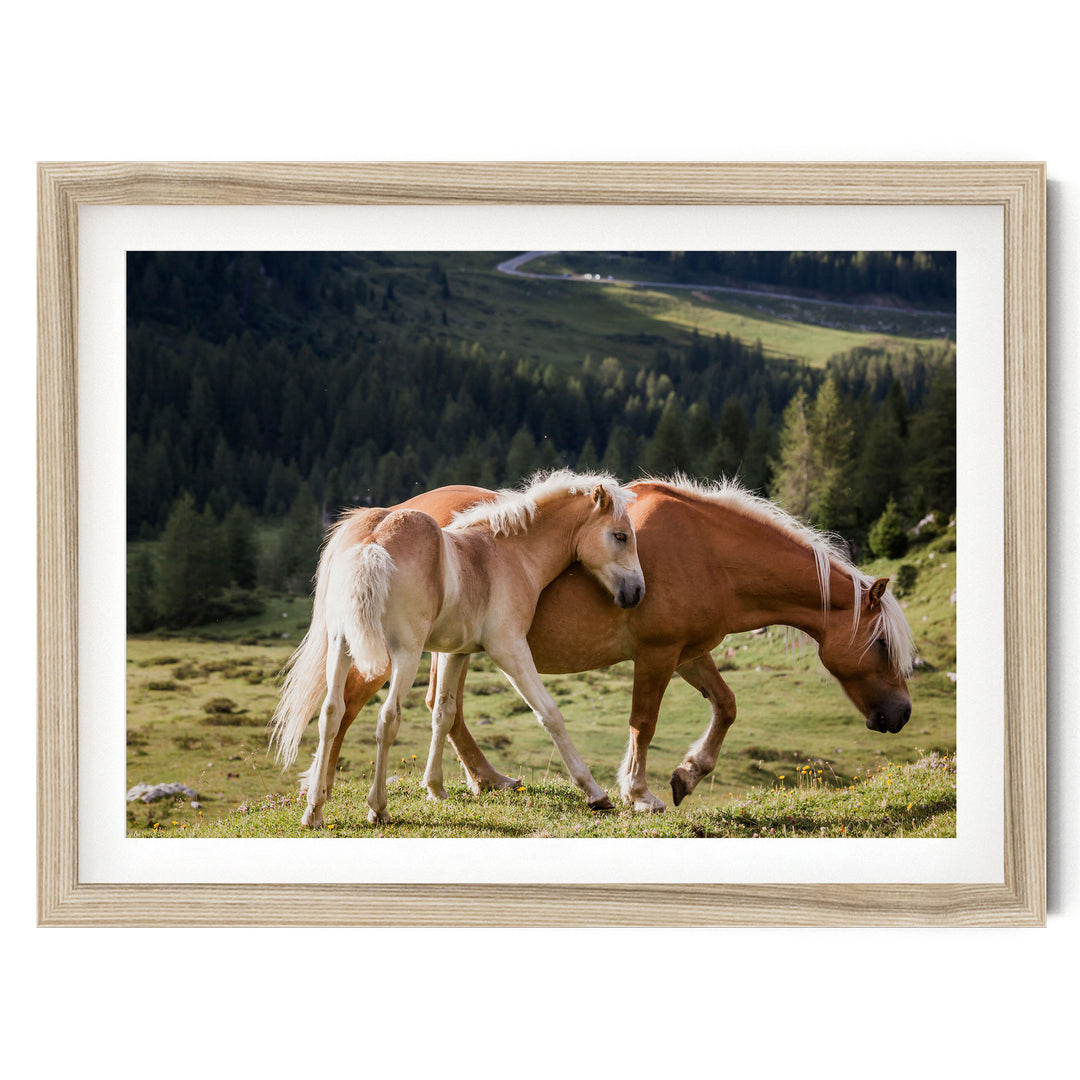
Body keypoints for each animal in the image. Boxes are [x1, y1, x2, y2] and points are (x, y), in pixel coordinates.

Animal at [269, 470, 645, 826]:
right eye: (621, 536)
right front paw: (595, 792)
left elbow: (443, 713)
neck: (507, 553)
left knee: (331, 713)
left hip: (341, 646)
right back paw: (378, 808)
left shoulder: (455, 652)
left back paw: (314, 810)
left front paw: (435, 787)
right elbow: (549, 714)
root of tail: (371, 541)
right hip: (404, 654)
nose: (637, 592)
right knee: (387, 718)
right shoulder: (509, 649)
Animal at [292, 475, 917, 814]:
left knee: (440, 709)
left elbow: (726, 705)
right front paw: (639, 792)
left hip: (453, 647)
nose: (901, 715)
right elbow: (643, 721)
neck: (709, 552)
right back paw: (327, 792)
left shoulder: (690, 652)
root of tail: (383, 520)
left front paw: (688, 774)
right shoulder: (658, 655)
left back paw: (484, 781)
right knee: (352, 706)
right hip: (391, 650)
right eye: (881, 646)